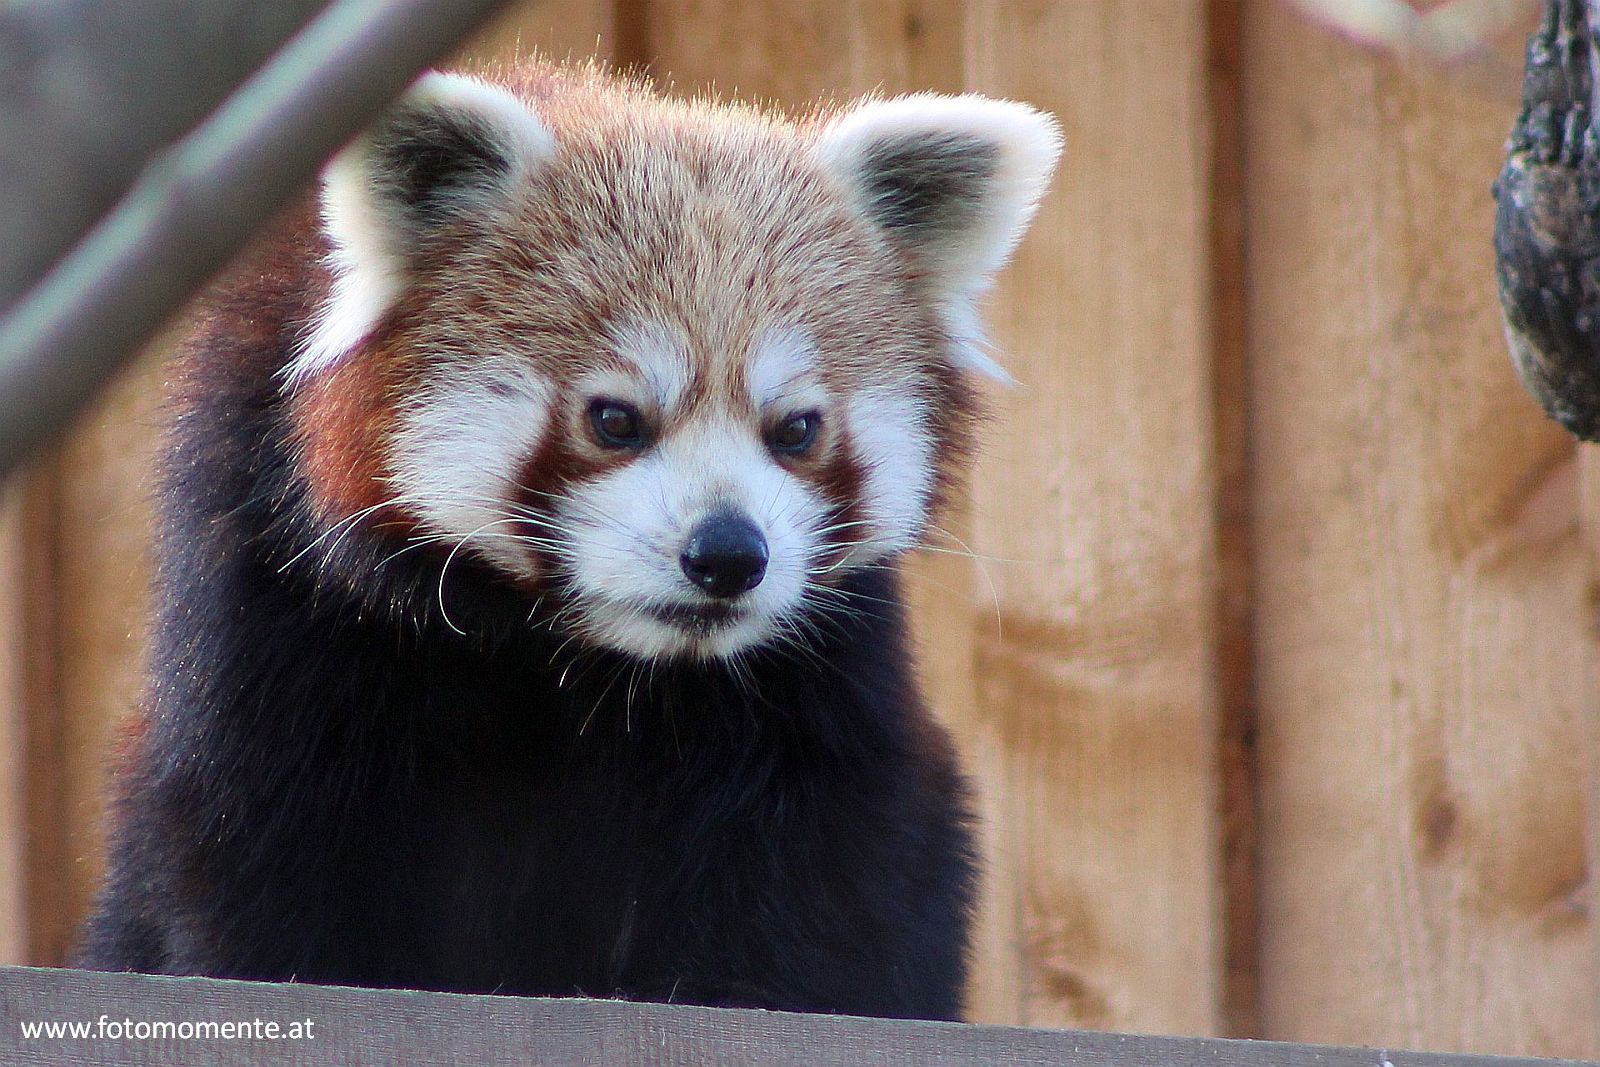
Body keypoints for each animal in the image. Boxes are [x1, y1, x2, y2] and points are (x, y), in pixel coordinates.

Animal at [75, 60, 1056, 1023]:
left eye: (797, 429)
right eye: (614, 419)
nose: (728, 555)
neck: (571, 662)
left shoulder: (819, 690)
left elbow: (827, 861)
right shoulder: (274, 589)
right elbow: (268, 840)